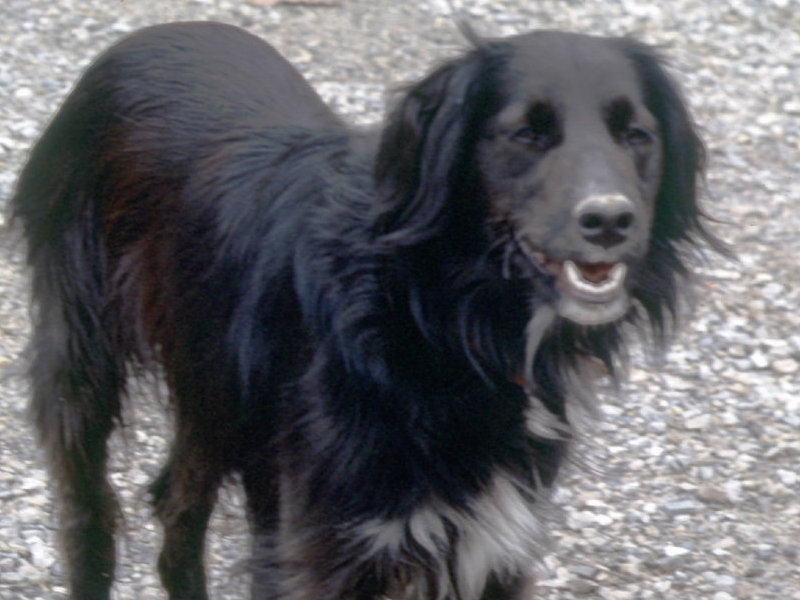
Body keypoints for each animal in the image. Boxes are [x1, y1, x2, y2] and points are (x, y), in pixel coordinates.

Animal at [10, 21, 712, 596]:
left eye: (636, 135)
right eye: (526, 134)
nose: (610, 220)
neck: (437, 320)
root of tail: (145, 37)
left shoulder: (493, 541)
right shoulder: (323, 549)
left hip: (212, 385)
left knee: (176, 503)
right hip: (81, 353)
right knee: (89, 517)